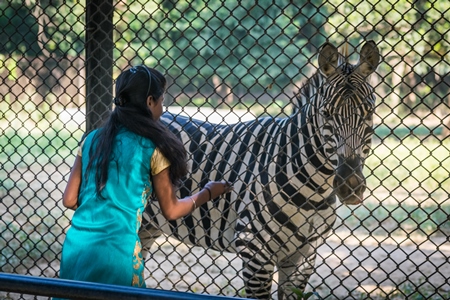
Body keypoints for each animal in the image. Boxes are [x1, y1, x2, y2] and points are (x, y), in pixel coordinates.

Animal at [140, 40, 380, 300]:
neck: (314, 189)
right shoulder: (254, 250)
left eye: (369, 112)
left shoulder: (304, 255)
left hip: (147, 225)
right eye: (326, 114)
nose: (350, 186)